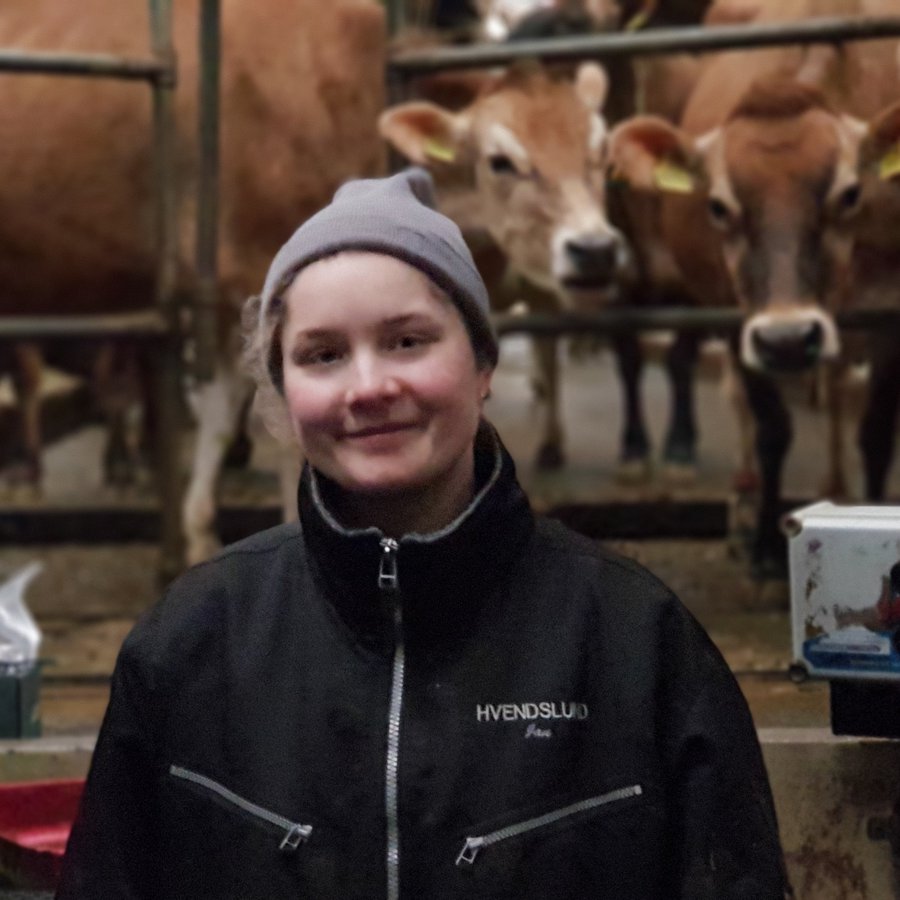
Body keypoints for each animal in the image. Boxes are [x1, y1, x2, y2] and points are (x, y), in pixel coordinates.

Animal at [604, 0, 900, 576]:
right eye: (719, 206)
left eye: (850, 193)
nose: (788, 339)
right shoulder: (731, 314)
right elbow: (772, 429)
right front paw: (763, 546)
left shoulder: (892, 314)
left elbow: (875, 433)